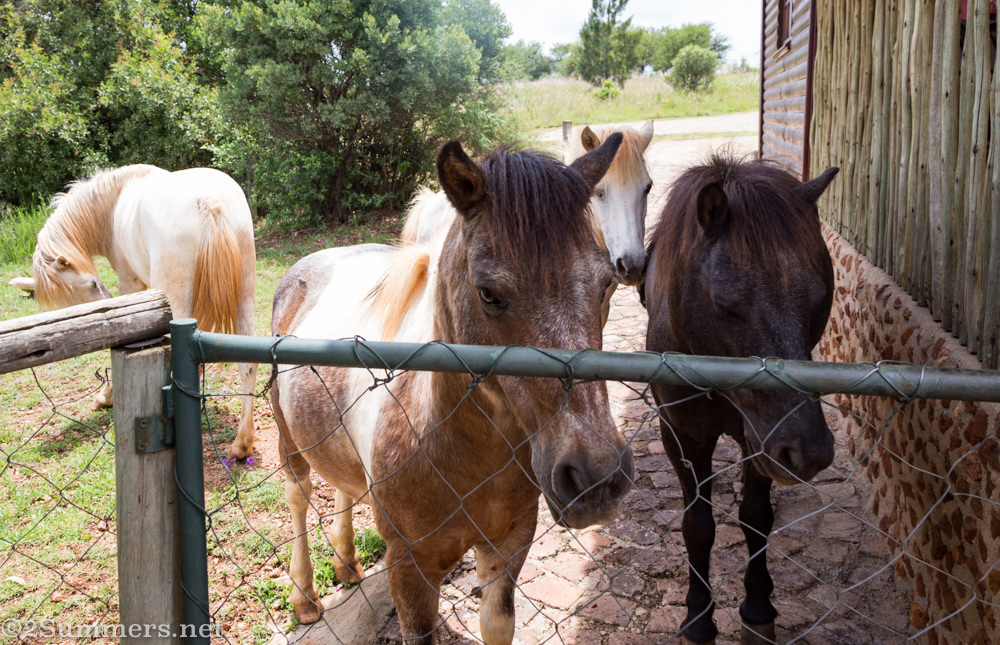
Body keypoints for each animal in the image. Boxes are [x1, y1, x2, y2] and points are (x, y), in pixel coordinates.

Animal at [17, 165, 259, 460]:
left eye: (94, 283)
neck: (114, 199)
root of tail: (207, 202)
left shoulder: (129, 284)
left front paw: (106, 396)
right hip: (244, 297)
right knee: (248, 365)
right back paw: (241, 444)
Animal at [270, 137, 635, 644]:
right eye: (489, 294)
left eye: (606, 286)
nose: (594, 478)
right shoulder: (409, 569)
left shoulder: (507, 549)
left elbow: (497, 624)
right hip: (289, 441)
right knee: (299, 496)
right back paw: (305, 598)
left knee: (343, 485)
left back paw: (346, 565)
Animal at [641, 154, 840, 644]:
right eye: (727, 307)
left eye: (819, 298)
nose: (809, 450)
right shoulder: (682, 434)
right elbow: (698, 526)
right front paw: (698, 616)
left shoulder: (760, 439)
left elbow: (755, 516)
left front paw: (757, 604)